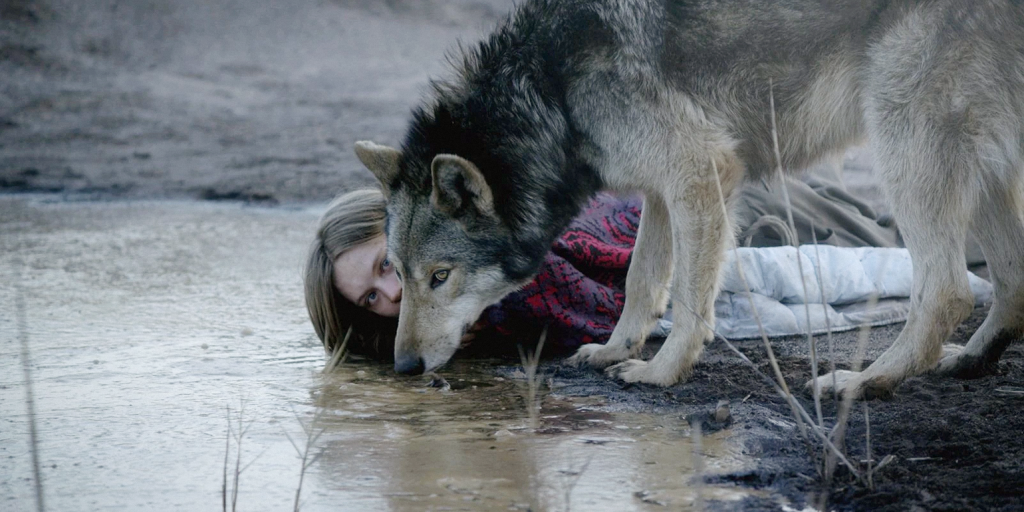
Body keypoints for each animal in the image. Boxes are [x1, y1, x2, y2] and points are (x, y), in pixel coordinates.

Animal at [356, 0, 1024, 397]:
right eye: (399, 274)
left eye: (440, 277)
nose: (403, 367)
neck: (552, 87)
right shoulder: (662, 189)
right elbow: (642, 282)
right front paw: (615, 350)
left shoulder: (702, 171)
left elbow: (686, 299)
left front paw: (661, 373)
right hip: (979, 171)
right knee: (1010, 283)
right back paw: (968, 361)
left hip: (901, 146)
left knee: (948, 289)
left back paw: (864, 382)